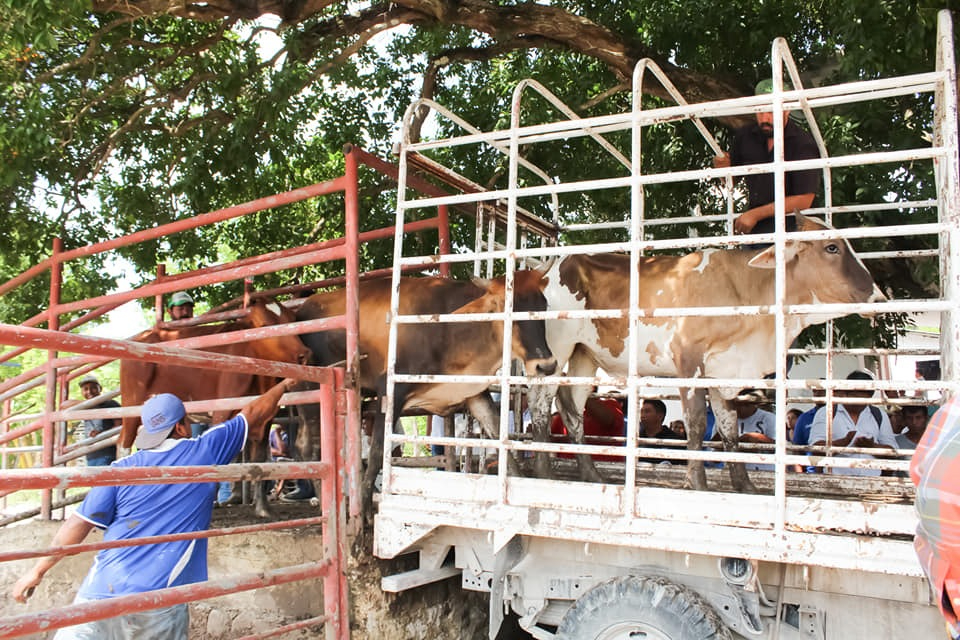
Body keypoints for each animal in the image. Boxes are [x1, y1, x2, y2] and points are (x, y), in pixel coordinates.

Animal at [117, 302, 310, 520]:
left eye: (292, 320)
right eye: (264, 324)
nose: (304, 354)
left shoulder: (266, 418)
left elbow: (259, 460)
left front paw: (262, 509)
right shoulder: (221, 411)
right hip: (132, 404)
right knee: (124, 444)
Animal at [296, 270, 560, 510]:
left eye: (543, 304)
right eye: (505, 305)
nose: (546, 365)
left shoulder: (473, 393)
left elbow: (500, 439)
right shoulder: (390, 391)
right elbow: (377, 452)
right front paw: (363, 519)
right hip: (311, 393)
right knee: (311, 448)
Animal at [528, 212, 888, 492]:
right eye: (831, 247)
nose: (879, 298)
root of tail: (549, 269)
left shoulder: (724, 371)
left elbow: (729, 429)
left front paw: (744, 485)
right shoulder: (688, 360)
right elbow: (697, 424)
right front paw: (696, 482)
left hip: (585, 355)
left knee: (571, 407)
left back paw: (589, 473)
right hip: (557, 351)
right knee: (541, 405)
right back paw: (543, 470)